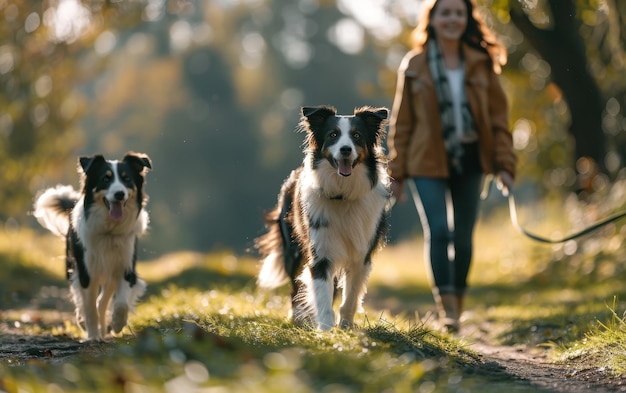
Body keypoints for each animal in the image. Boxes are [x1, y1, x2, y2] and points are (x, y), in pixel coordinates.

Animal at [34, 152, 151, 338]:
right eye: (105, 179)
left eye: (126, 179)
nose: (120, 194)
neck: (109, 231)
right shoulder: (86, 271)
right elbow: (90, 308)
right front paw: (93, 336)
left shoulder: (125, 267)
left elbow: (120, 303)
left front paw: (117, 324)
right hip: (73, 266)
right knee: (84, 298)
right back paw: (85, 323)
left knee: (102, 301)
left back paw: (104, 328)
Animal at [256, 105, 388, 330]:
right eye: (333, 135)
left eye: (357, 135)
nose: (345, 149)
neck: (342, 195)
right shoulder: (321, 251)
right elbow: (322, 293)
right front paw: (325, 329)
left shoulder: (361, 253)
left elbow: (350, 296)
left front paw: (345, 326)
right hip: (293, 249)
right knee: (295, 285)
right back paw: (296, 317)